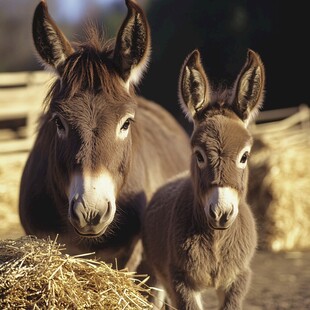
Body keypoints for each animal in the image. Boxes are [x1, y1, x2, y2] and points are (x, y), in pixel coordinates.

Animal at [142, 49, 266, 308]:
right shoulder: (180, 281)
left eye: (245, 156)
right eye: (198, 154)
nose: (221, 213)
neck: (216, 239)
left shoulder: (238, 279)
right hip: (156, 273)